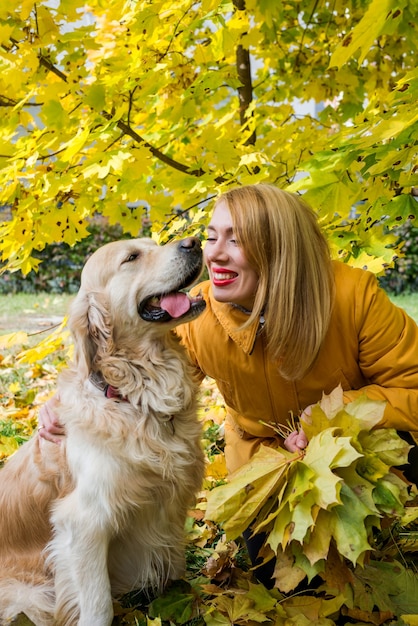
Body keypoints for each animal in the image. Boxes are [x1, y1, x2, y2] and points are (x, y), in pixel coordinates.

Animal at [0, 235, 207, 624]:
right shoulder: (85, 523)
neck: (135, 396)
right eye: (132, 257)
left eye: (152, 244)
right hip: (30, 596)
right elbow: (99, 605)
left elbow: (174, 570)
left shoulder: (170, 506)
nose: (194, 242)